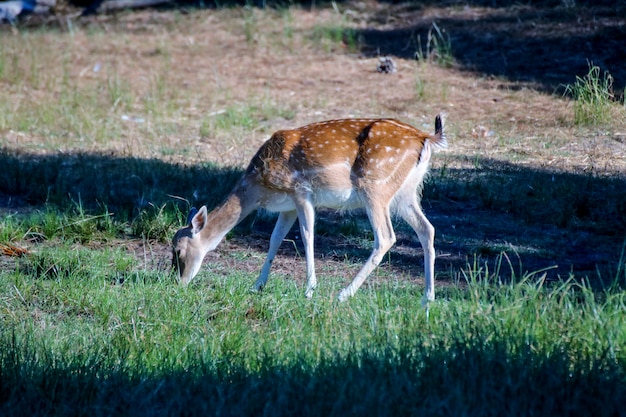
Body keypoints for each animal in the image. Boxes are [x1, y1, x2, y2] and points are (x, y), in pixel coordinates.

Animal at [171, 114, 444, 302]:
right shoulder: (287, 207)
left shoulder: (301, 192)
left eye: (179, 251)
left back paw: (344, 294)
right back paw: (427, 298)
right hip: (406, 193)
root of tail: (427, 138)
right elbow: (274, 239)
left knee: (386, 237)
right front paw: (257, 285)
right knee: (427, 229)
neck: (260, 187)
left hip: (375, 187)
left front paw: (309, 290)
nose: (178, 283)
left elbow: (307, 236)